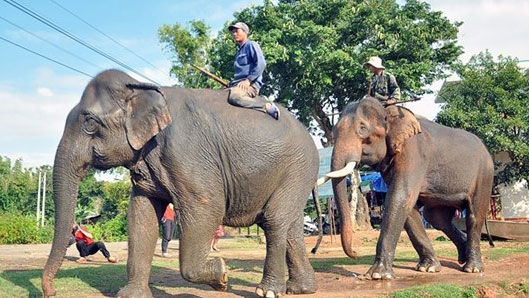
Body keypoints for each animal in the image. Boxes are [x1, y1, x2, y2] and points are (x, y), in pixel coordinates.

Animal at [41, 69, 318, 298]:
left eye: (89, 123)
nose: (51, 292)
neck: (141, 87)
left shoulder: (187, 151)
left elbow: (207, 206)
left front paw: (221, 274)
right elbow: (141, 214)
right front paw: (130, 296)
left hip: (298, 167)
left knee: (273, 221)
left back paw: (268, 291)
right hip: (296, 174)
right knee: (290, 225)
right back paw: (301, 289)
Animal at [328, 97, 492, 280]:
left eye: (362, 128)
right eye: (333, 131)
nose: (355, 253)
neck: (389, 111)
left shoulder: (413, 152)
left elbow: (400, 197)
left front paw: (377, 275)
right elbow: (407, 206)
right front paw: (428, 268)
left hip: (484, 175)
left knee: (473, 215)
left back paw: (473, 269)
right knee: (436, 217)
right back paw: (462, 255)